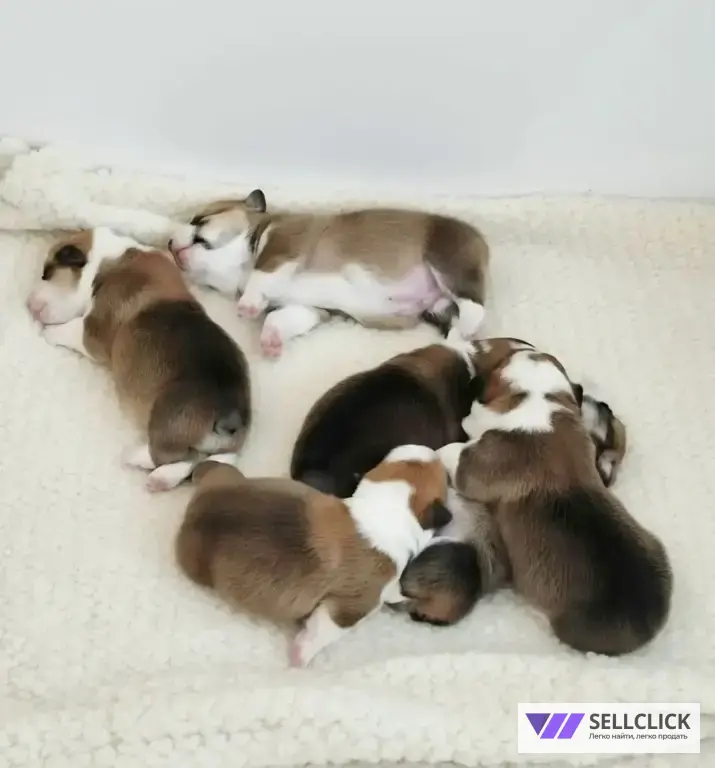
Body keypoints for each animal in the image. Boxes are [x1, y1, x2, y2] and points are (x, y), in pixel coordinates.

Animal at [26, 227, 251, 492]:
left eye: (46, 273)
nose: (29, 305)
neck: (109, 261)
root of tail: (231, 416)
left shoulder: (93, 331)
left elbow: (70, 330)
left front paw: (48, 333)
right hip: (223, 447)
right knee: (206, 459)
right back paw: (163, 477)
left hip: (166, 420)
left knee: (173, 455)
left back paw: (139, 460)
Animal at [167, 191, 489, 357]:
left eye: (199, 219)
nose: (169, 243)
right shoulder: (309, 308)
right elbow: (279, 318)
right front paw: (271, 341)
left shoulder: (283, 246)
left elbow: (263, 273)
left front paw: (247, 304)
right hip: (437, 308)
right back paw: (459, 340)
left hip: (447, 261)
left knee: (474, 307)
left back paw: (467, 328)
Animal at [175, 445, 452, 667]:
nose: (429, 450)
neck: (386, 509)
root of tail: (197, 504)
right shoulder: (351, 606)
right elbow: (324, 628)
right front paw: (301, 654)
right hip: (194, 564)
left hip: (229, 476)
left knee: (211, 467)